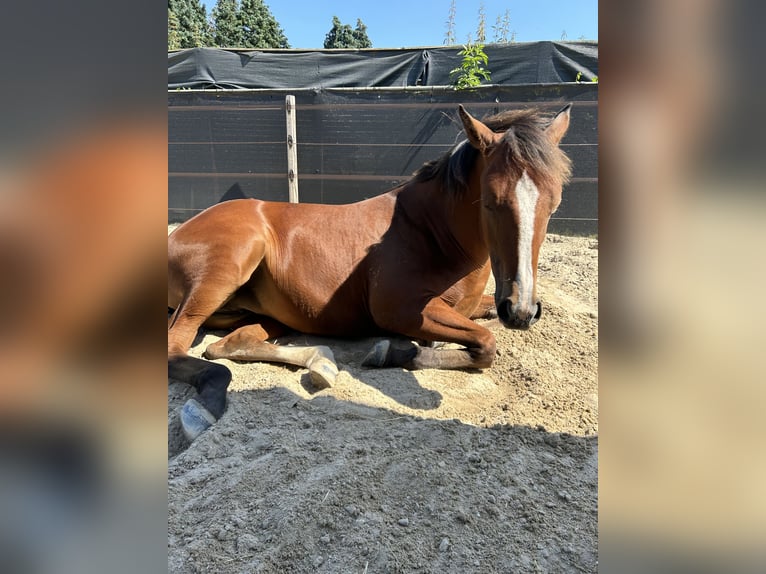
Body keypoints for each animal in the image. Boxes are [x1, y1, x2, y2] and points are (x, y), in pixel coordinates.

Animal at [171, 104, 572, 440]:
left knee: (230, 344)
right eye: (490, 201)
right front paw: (390, 351)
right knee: (179, 346)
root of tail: (179, 230)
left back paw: (321, 363)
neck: (428, 231)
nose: (520, 311)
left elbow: (484, 330)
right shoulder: (399, 311)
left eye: (554, 203)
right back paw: (202, 411)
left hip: (267, 314)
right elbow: (486, 344)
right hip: (221, 277)